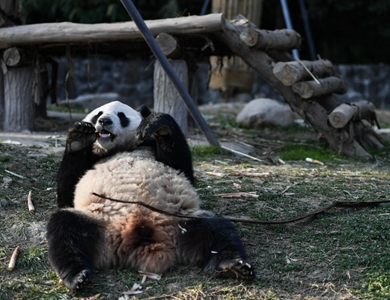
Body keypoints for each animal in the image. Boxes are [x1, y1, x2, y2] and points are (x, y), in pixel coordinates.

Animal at [47, 101, 254, 292]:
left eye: (121, 115)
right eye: (98, 114)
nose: (104, 121)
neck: (121, 148)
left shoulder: (152, 147)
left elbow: (181, 166)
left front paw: (157, 124)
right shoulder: (90, 160)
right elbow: (67, 193)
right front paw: (79, 137)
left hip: (182, 223)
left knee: (219, 230)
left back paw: (233, 266)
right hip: (101, 227)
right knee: (64, 230)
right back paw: (77, 276)